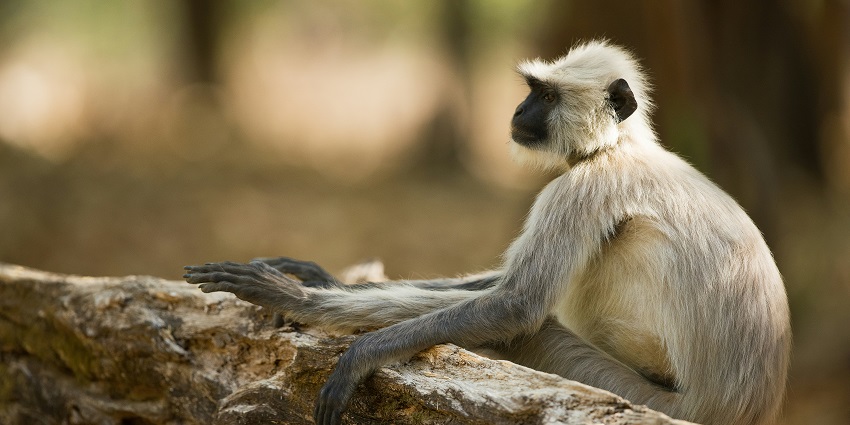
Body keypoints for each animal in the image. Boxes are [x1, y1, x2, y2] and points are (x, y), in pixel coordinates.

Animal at [184, 40, 791, 425]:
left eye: (546, 96)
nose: (519, 109)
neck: (618, 146)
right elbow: (497, 288)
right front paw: (315, 279)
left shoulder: (580, 189)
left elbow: (515, 305)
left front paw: (320, 318)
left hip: (642, 395)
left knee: (530, 329)